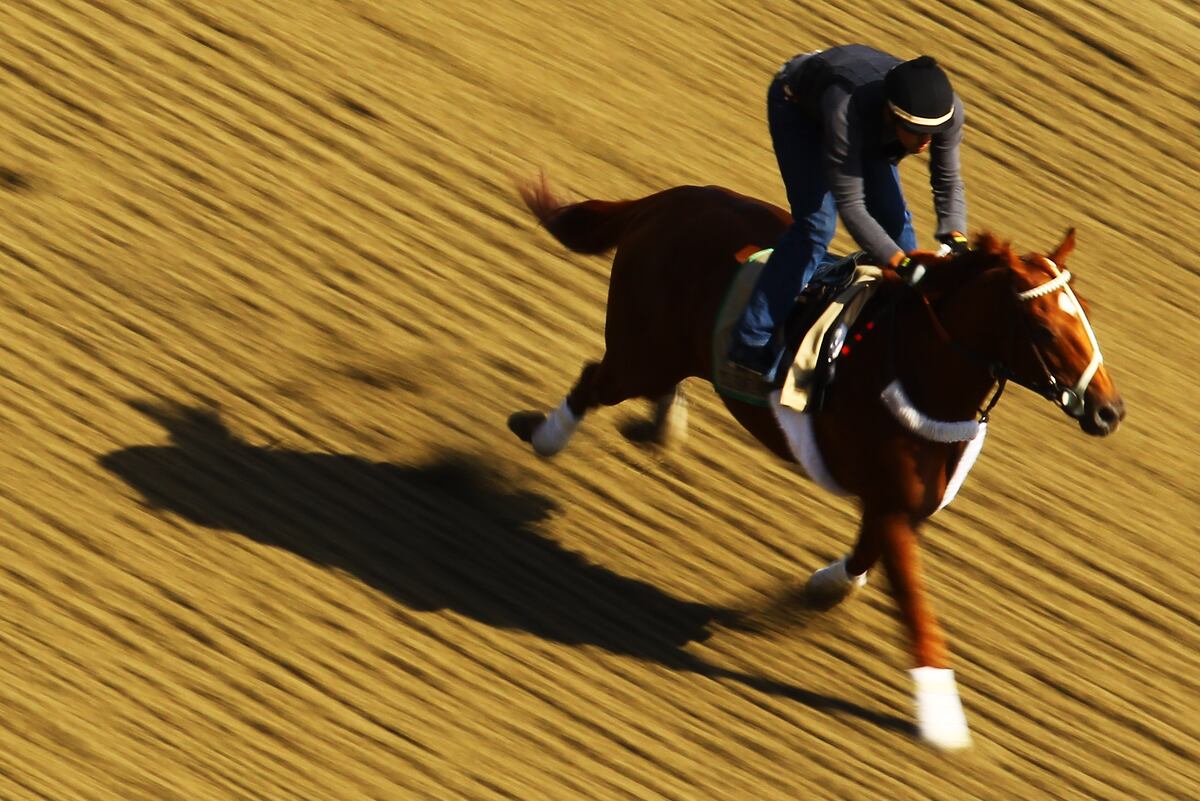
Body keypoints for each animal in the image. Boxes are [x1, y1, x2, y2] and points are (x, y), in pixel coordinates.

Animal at [507, 176, 1125, 749]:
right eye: (1044, 328)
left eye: (1087, 314)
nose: (1109, 411)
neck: (918, 368)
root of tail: (671, 198)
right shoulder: (892, 504)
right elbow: (916, 607)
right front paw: (943, 721)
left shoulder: (901, 506)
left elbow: (862, 560)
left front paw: (819, 587)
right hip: (641, 351)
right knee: (594, 380)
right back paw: (543, 435)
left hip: (669, 352)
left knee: (648, 383)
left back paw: (659, 426)